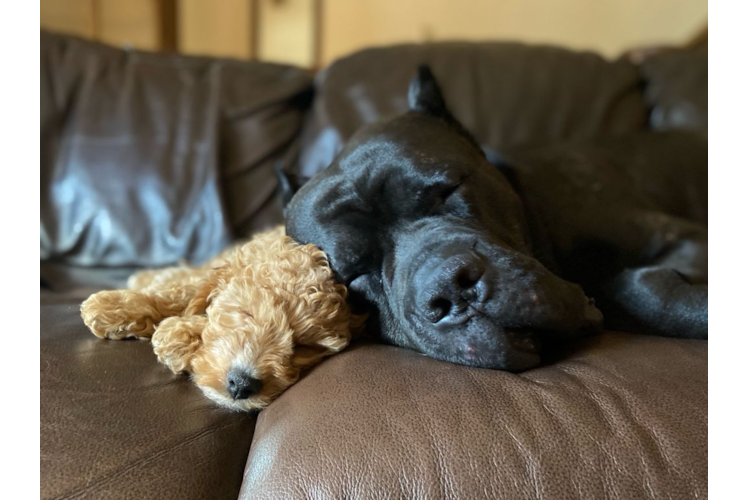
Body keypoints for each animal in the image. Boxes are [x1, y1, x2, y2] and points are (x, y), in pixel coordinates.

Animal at [80, 228, 364, 410]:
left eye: (304, 345)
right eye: (246, 313)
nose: (242, 385)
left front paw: (182, 336)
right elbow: (187, 290)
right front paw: (114, 306)